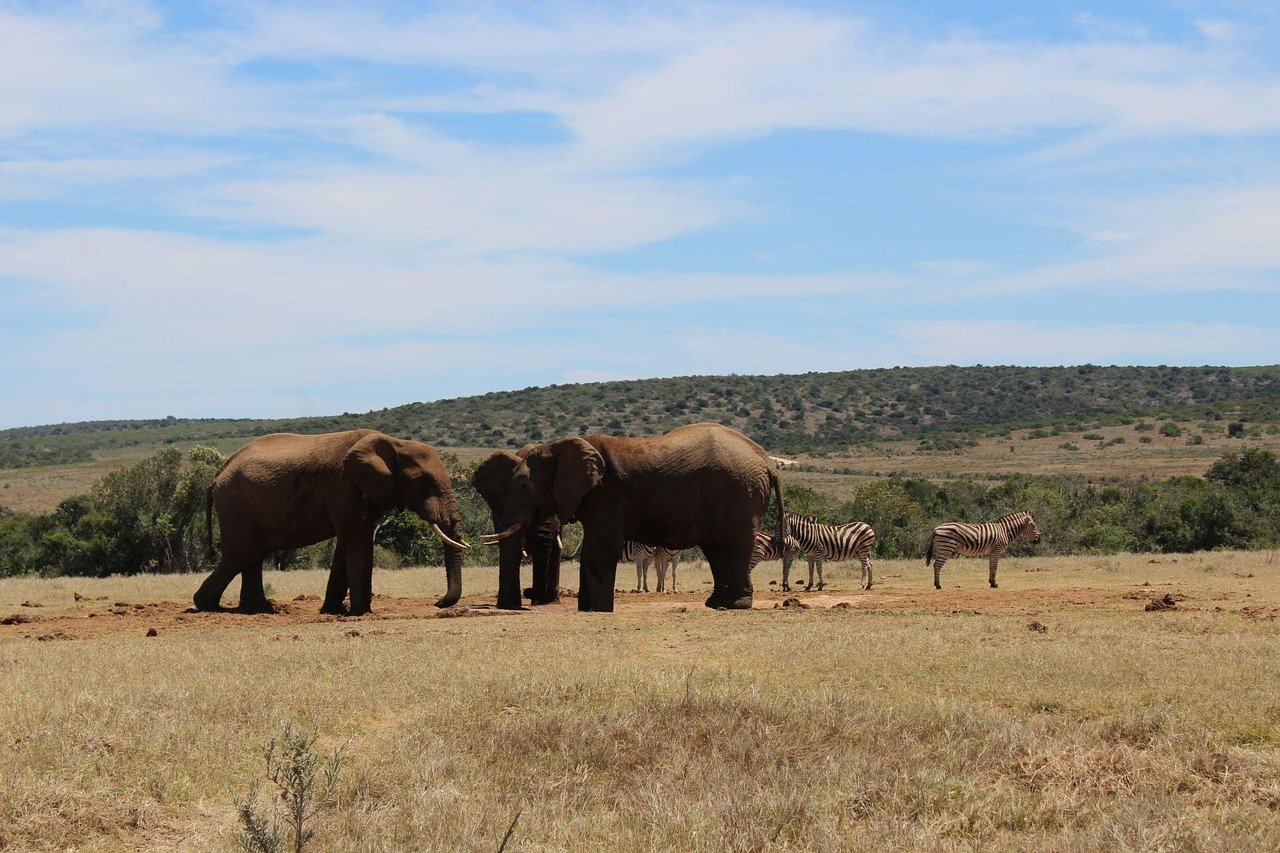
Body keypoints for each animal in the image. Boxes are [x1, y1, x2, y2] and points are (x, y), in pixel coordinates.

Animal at [192, 429, 469, 615]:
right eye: (425, 481)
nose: (438, 603)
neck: (394, 443)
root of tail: (216, 475)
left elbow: (346, 543)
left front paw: (333, 611)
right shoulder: (344, 486)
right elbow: (358, 540)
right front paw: (361, 613)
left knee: (253, 555)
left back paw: (260, 609)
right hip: (235, 504)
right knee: (242, 554)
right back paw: (206, 604)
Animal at [473, 422, 786, 612]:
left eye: (524, 486)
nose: (526, 597)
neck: (560, 445)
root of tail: (767, 461)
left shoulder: (607, 494)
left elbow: (602, 546)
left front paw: (598, 610)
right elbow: (592, 548)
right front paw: (588, 609)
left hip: (739, 492)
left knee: (735, 544)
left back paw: (737, 605)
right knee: (717, 549)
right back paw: (717, 603)